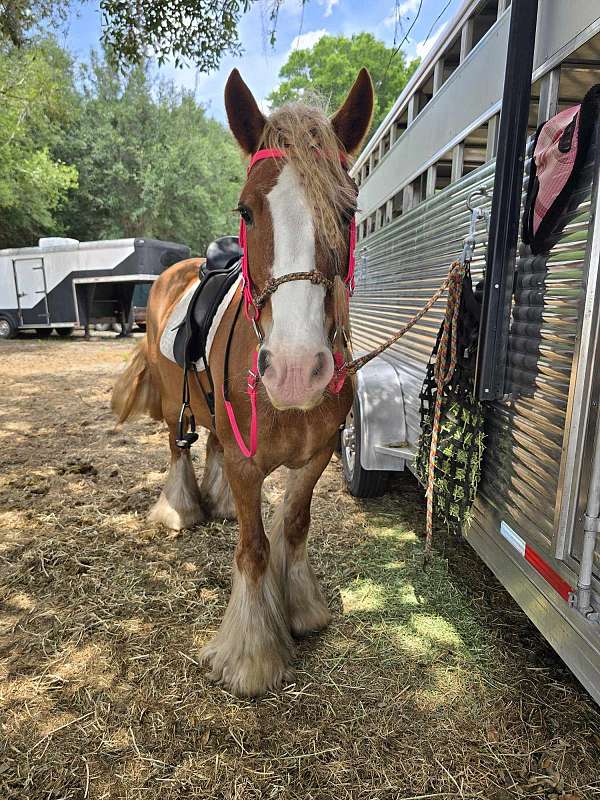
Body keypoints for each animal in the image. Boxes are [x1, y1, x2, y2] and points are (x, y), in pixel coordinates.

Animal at [111, 67, 374, 697]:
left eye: (347, 211)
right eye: (247, 211)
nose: (297, 371)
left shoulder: (315, 457)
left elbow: (294, 527)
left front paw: (300, 610)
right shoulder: (248, 461)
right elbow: (254, 549)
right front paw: (251, 655)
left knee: (209, 441)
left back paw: (219, 502)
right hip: (174, 406)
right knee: (178, 447)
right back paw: (181, 509)